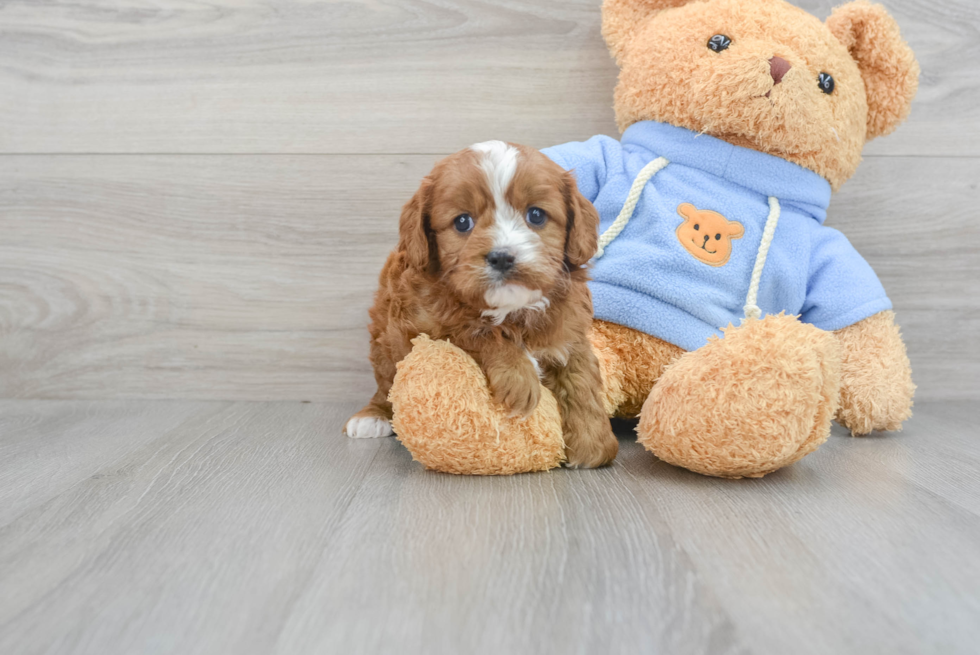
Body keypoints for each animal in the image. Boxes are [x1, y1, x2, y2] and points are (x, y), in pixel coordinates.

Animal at [348, 142, 616, 472]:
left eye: (536, 215)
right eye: (463, 222)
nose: (502, 257)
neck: (511, 310)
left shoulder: (569, 331)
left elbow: (581, 378)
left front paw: (594, 442)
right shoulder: (422, 326)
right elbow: (475, 332)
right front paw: (519, 378)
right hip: (384, 342)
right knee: (385, 382)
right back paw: (371, 416)